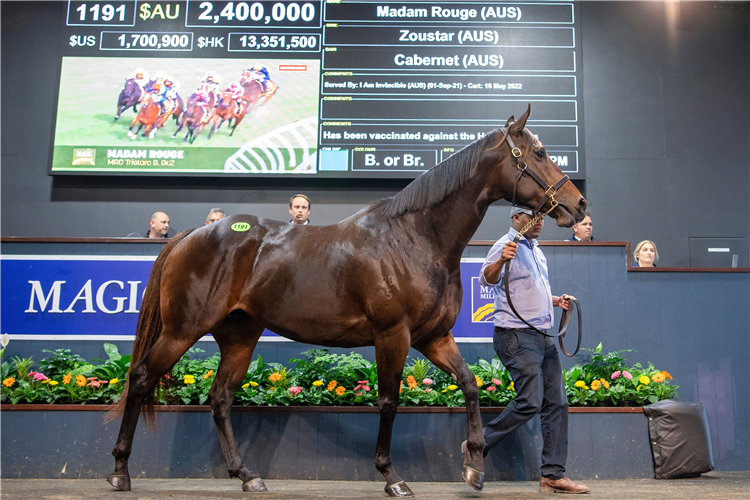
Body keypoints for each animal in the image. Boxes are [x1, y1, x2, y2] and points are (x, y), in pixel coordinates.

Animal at [107, 105, 588, 496]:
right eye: (539, 153)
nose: (578, 205)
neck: (416, 239)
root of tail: (194, 234)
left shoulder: (433, 337)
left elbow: (469, 385)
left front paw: (473, 466)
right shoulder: (393, 336)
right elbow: (389, 401)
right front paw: (392, 477)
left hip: (239, 336)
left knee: (220, 399)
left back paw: (247, 476)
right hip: (182, 330)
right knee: (142, 378)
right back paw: (120, 471)